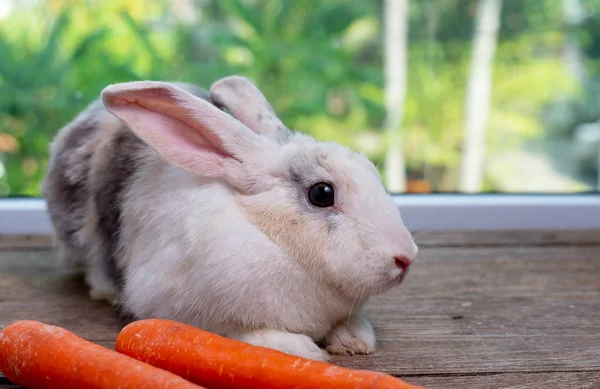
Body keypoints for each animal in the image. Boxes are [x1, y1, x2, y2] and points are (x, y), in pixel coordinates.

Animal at [42, 76, 418, 360]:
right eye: (322, 194)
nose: (406, 258)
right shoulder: (186, 310)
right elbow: (245, 334)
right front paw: (303, 350)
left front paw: (355, 342)